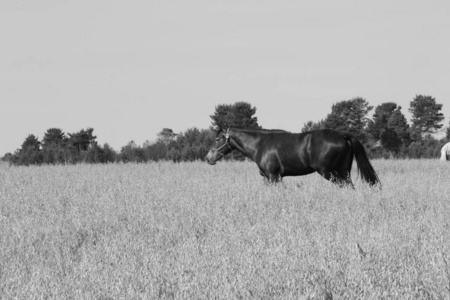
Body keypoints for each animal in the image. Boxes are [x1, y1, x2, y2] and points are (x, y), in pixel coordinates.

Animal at [207, 126, 380, 188]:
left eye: (218, 139)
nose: (208, 158)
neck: (260, 144)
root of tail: (342, 135)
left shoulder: (274, 176)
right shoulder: (269, 178)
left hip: (330, 172)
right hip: (344, 171)